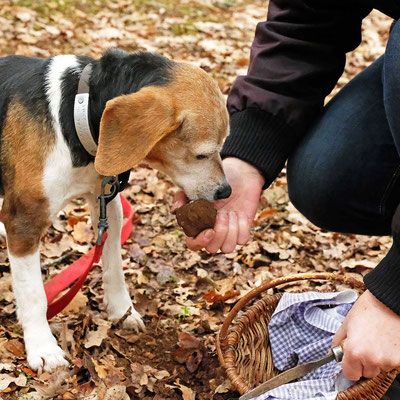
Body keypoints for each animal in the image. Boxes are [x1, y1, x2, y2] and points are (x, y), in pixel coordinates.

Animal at [0, 49, 231, 372]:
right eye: (202, 154)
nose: (226, 192)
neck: (75, 111)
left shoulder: (107, 205)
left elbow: (114, 266)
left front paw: (121, 310)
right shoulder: (25, 221)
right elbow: (34, 294)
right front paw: (42, 347)